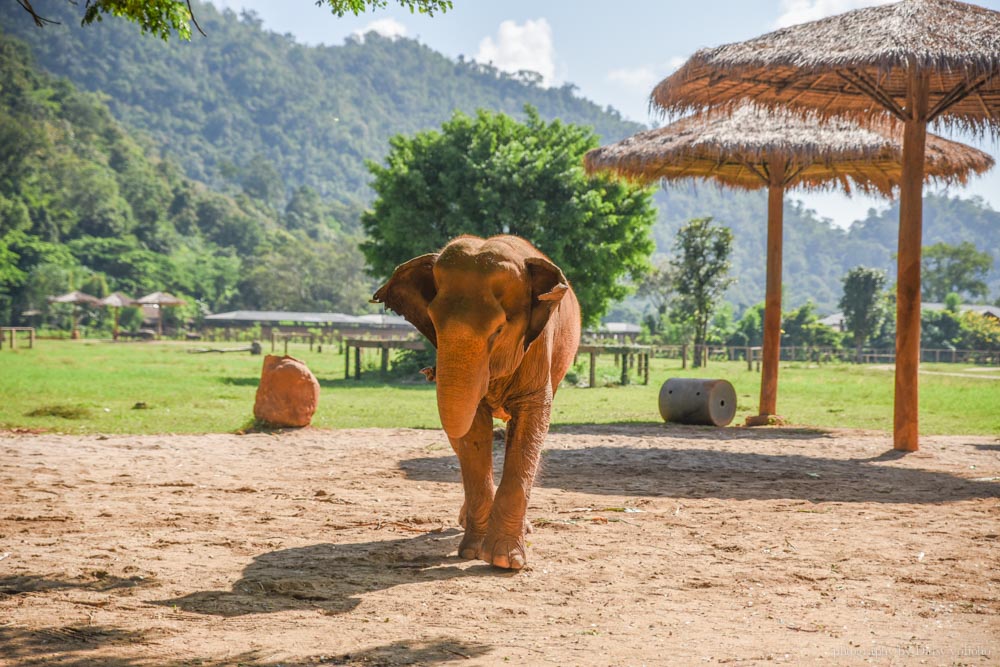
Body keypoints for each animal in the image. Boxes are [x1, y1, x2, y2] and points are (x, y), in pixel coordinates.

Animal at [374, 235, 580, 568]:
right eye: (433, 323)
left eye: (499, 329)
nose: (428, 372)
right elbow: (473, 430)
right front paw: (471, 552)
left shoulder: (539, 348)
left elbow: (532, 418)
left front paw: (504, 562)